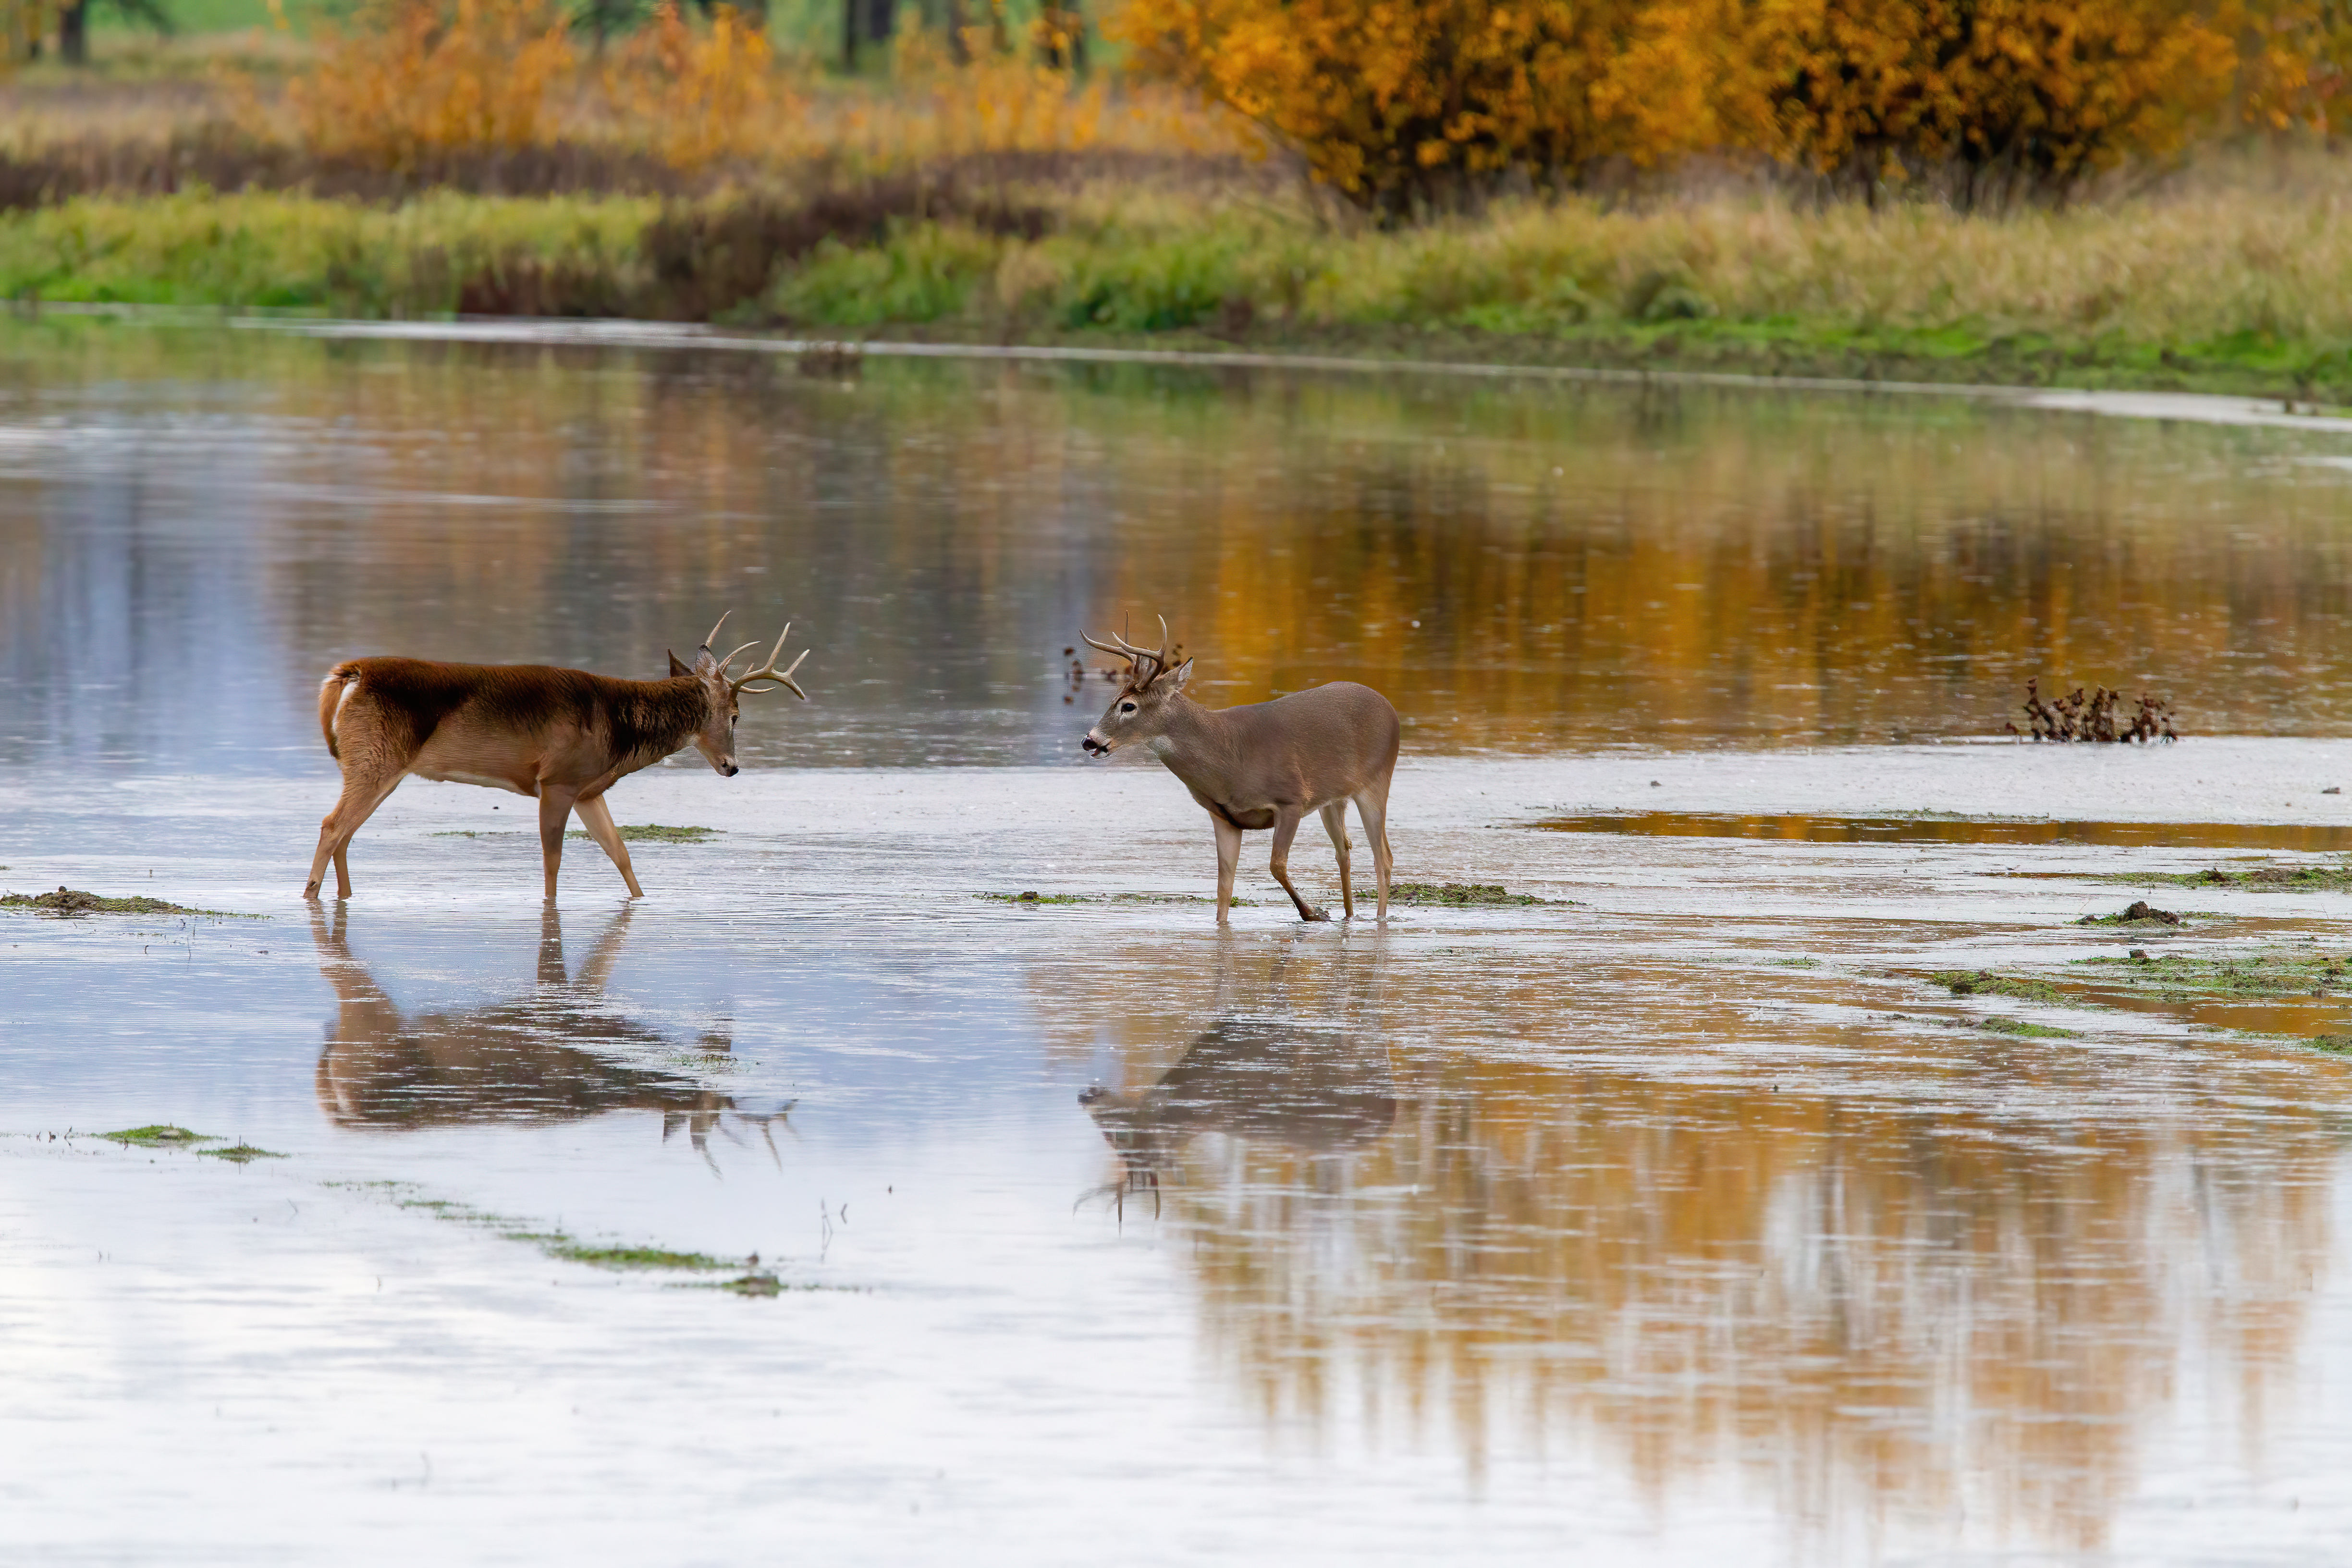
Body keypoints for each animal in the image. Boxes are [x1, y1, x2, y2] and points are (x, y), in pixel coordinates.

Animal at [303, 614, 808, 902]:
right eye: (736, 715)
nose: (732, 767)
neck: (617, 725)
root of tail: (353, 673)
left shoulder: (588, 790)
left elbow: (621, 853)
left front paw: (643, 900)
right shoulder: (558, 780)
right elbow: (553, 859)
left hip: (378, 765)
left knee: (345, 831)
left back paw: (346, 897)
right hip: (376, 759)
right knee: (332, 826)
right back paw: (311, 897)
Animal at [1079, 616, 1398, 923]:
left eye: (1128, 706)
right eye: (1112, 700)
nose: (1089, 740)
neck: (1229, 760)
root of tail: (1389, 707)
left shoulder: (1291, 800)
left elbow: (1276, 865)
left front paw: (1315, 913)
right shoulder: (1224, 817)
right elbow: (1224, 889)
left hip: (1377, 780)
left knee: (1383, 856)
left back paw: (1379, 919)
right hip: (1332, 799)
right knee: (1344, 850)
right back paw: (1350, 916)